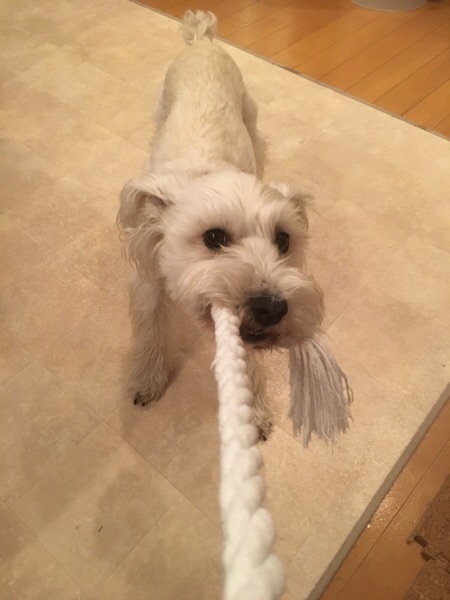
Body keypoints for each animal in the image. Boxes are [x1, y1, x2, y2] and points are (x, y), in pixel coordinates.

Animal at [117, 10, 324, 439]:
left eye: (283, 240)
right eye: (213, 237)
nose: (273, 308)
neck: (207, 173)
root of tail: (203, 42)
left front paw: (254, 411)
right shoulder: (148, 284)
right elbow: (150, 334)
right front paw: (147, 380)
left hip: (251, 118)